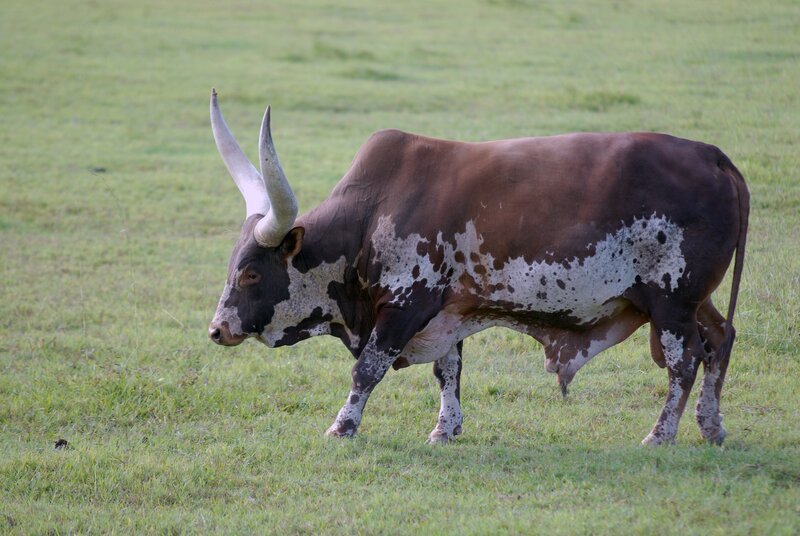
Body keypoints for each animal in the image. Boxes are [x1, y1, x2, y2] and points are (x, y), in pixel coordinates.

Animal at [206, 89, 748, 446]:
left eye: (251, 273)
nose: (216, 329)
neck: (371, 215)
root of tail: (713, 156)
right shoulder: (448, 311)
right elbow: (448, 370)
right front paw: (445, 430)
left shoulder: (405, 306)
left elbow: (367, 370)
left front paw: (342, 427)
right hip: (689, 300)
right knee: (720, 339)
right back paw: (711, 426)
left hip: (672, 301)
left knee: (684, 360)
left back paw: (660, 435)